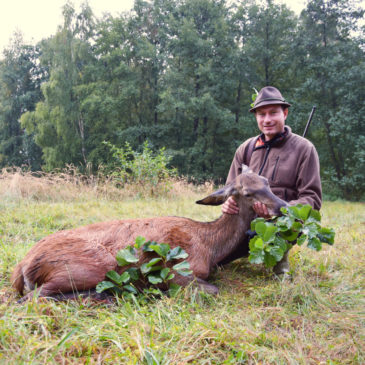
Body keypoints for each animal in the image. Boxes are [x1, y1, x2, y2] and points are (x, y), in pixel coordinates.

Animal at [10, 166, 284, 300]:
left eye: (268, 182)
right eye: (247, 192)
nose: (283, 206)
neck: (211, 247)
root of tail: (22, 265)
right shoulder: (179, 272)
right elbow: (213, 290)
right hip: (93, 265)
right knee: (32, 298)